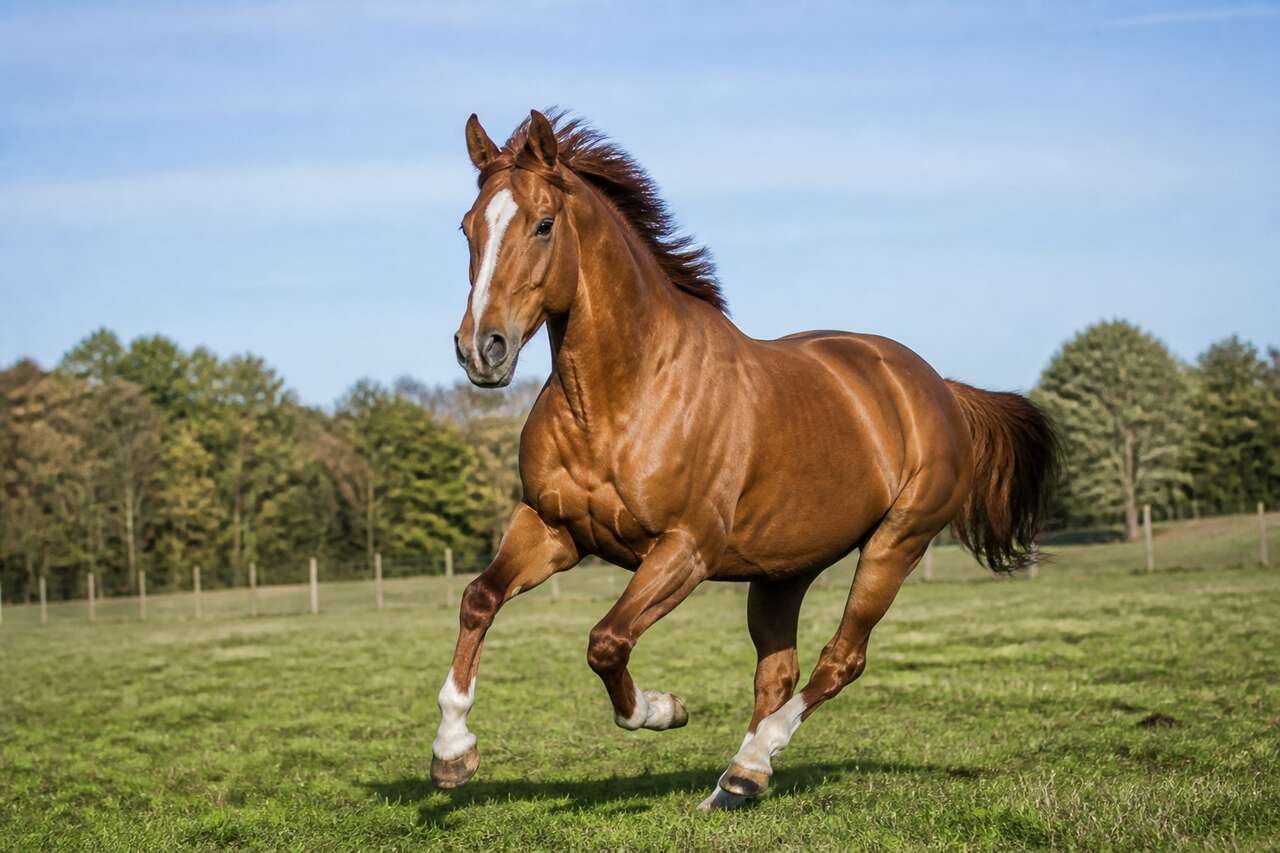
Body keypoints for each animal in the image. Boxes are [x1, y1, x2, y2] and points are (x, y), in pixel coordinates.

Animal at [431, 109, 1058, 810]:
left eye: (543, 224)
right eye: (468, 227)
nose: (481, 349)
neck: (623, 396)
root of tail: (940, 389)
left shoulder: (686, 549)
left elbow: (606, 642)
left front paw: (664, 709)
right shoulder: (553, 527)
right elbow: (479, 599)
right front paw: (453, 754)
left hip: (896, 544)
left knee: (840, 660)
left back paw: (748, 763)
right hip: (785, 569)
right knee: (778, 670)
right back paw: (742, 781)